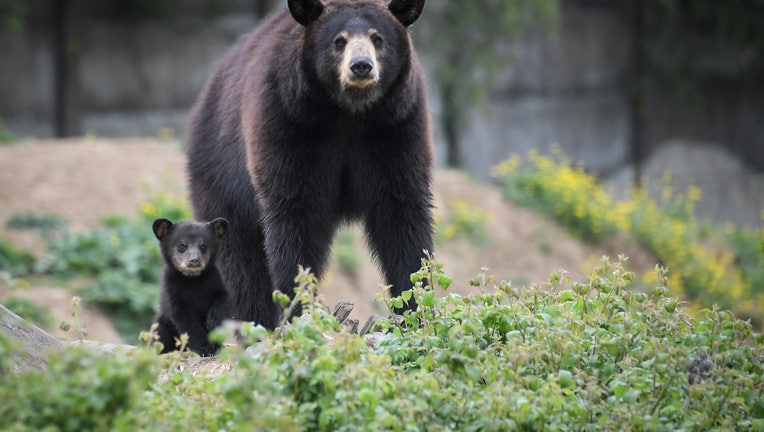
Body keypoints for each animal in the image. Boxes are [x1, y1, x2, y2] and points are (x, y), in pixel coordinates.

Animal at [151, 218, 230, 356]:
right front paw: (203, 349)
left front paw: (213, 323)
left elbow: (223, 298)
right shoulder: (173, 292)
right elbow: (188, 323)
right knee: (160, 334)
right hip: (163, 323)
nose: (194, 261)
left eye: (203, 246)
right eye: (181, 246)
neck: (193, 279)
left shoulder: (214, 280)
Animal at [188, 0, 432, 328]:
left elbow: (402, 211)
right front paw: (297, 306)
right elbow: (295, 213)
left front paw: (415, 306)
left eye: (378, 38)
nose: (361, 66)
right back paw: (249, 319)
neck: (350, 112)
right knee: (240, 259)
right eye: (339, 41)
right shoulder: (288, 120)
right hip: (221, 175)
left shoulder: (397, 123)